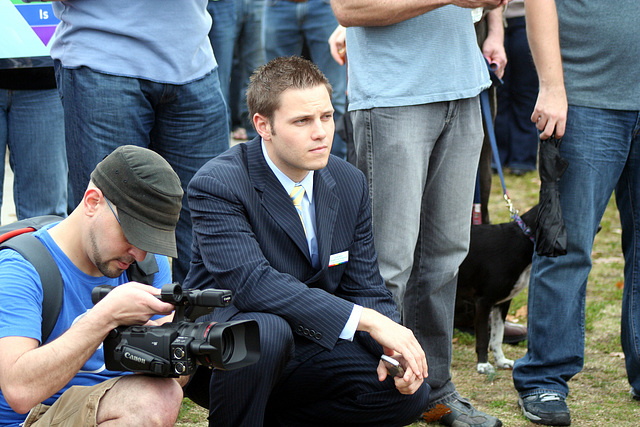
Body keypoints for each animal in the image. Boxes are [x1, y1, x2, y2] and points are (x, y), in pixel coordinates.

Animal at [458, 204, 536, 374]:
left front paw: (501, 361)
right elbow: (483, 337)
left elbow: (497, 336)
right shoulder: (483, 302)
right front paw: (483, 365)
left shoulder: (502, 303)